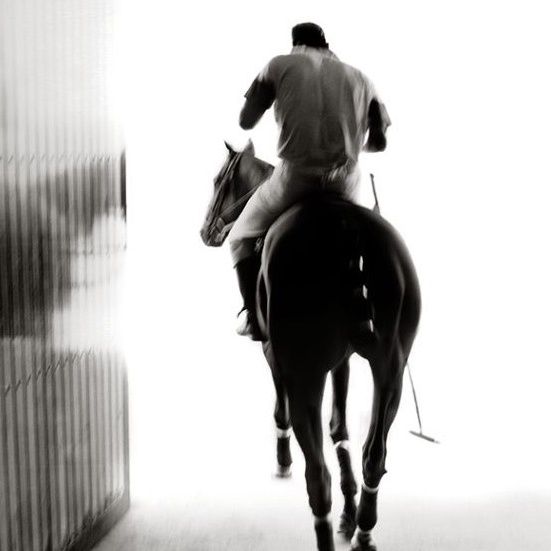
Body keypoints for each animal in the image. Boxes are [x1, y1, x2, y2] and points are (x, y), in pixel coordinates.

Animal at [201, 142, 420, 551]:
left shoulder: (276, 355)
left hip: (305, 373)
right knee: (373, 454)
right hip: (392, 371)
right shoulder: (342, 361)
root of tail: (350, 229)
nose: (206, 230)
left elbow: (283, 408)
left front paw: (283, 459)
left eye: (218, 179)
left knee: (318, 475)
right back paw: (363, 530)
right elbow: (341, 428)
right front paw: (348, 516)